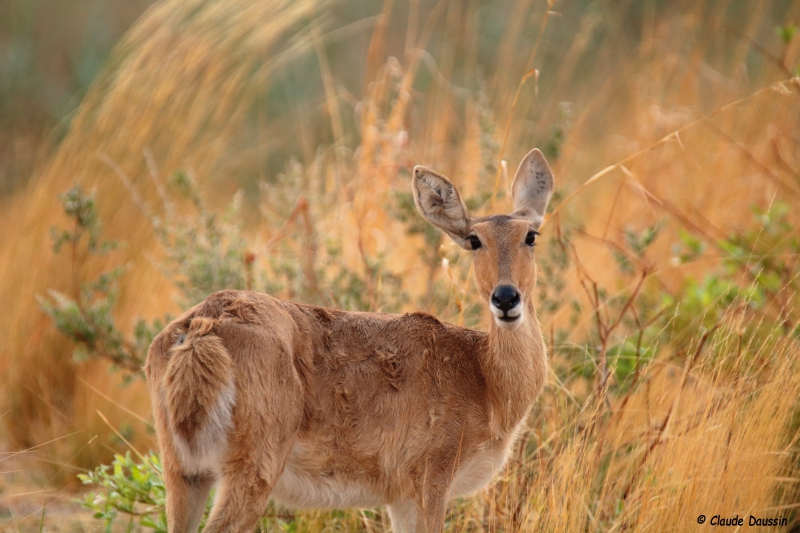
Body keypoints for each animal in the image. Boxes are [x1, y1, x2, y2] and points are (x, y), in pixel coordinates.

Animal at [144, 147, 552, 532]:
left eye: (531, 235)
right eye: (474, 239)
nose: (506, 297)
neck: (486, 382)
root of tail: (199, 331)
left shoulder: (399, 496)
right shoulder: (430, 476)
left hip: (182, 470)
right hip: (254, 464)